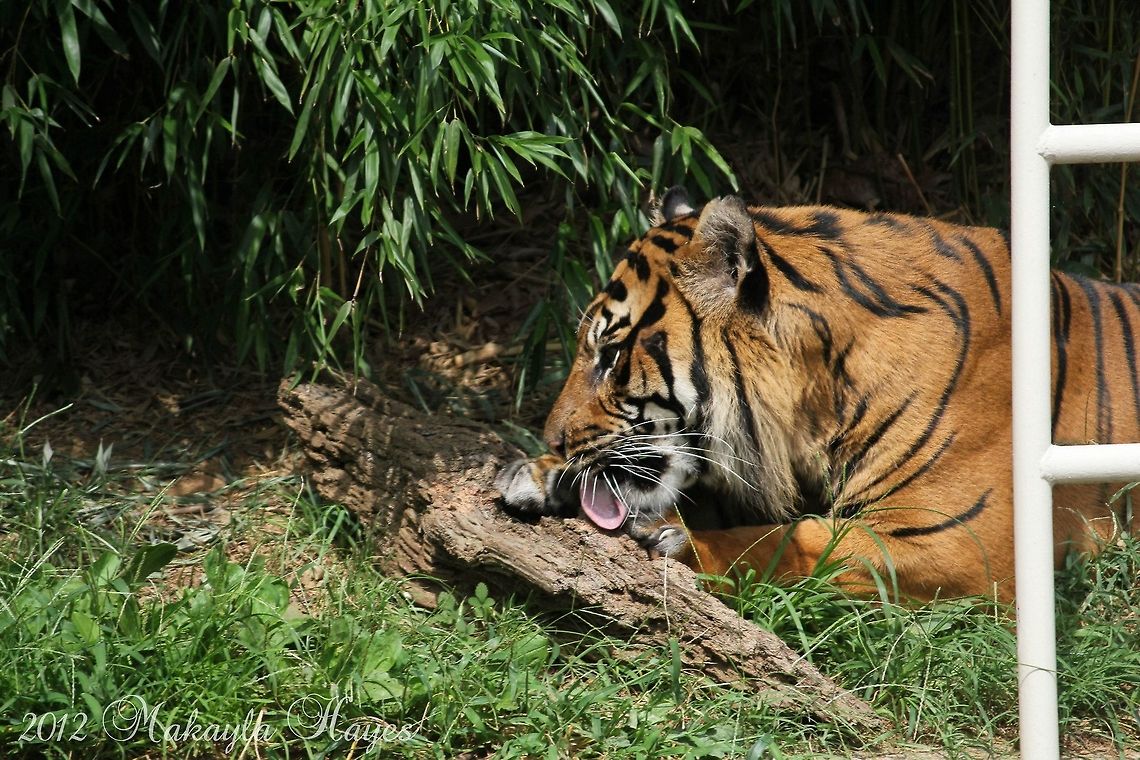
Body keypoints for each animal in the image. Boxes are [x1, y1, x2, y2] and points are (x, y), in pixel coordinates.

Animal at [496, 186, 1140, 602]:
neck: (821, 393)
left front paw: (685, 546)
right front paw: (538, 473)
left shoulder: (962, 539)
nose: (553, 437)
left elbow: (800, 541)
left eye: (610, 355)